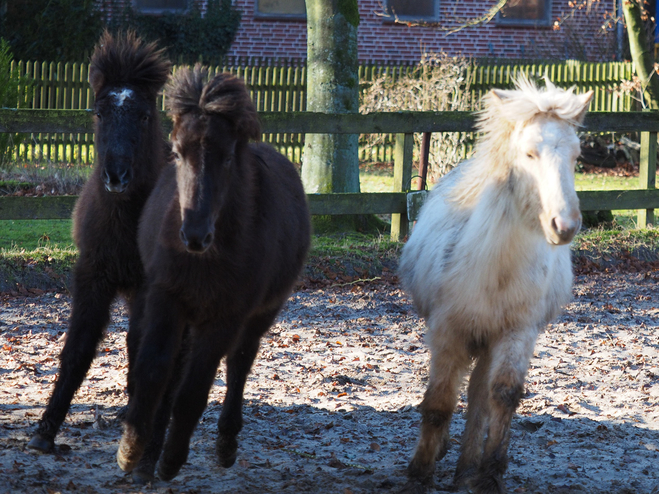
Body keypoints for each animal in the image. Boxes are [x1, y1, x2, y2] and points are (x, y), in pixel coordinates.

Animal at [27, 29, 171, 456]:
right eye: (99, 113)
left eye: (144, 115)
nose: (117, 175)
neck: (125, 224)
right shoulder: (93, 276)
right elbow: (78, 348)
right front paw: (46, 430)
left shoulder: (146, 284)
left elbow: (139, 342)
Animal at [116, 65, 312, 478]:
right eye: (176, 152)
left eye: (227, 157)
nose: (194, 234)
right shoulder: (167, 299)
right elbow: (154, 370)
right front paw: (133, 449)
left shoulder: (225, 317)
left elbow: (194, 392)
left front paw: (172, 459)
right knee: (176, 369)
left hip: (258, 315)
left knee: (239, 364)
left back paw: (225, 443)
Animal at [400, 78, 596, 494]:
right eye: (529, 154)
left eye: (575, 155)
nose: (564, 225)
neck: (496, 268)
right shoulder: (447, 333)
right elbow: (439, 403)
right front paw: (420, 472)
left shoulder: (516, 333)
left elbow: (502, 397)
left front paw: (489, 474)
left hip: (490, 342)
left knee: (478, 395)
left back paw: (465, 469)